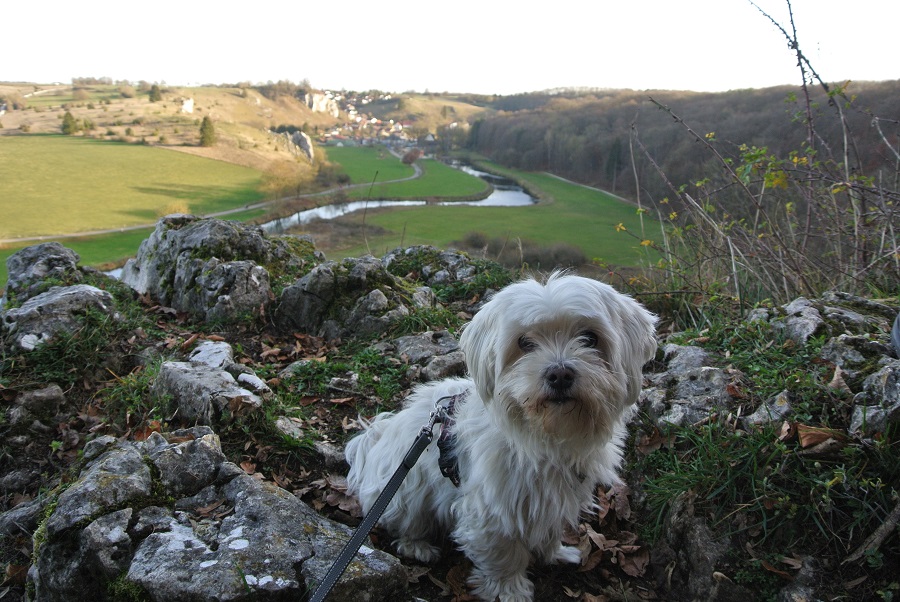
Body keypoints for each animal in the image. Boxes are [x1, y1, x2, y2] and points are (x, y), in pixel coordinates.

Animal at [345, 272, 657, 601]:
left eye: (590, 338)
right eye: (524, 343)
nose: (559, 374)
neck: (546, 436)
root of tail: (375, 442)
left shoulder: (555, 498)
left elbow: (550, 530)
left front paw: (555, 553)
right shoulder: (492, 510)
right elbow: (503, 553)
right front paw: (510, 590)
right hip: (406, 495)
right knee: (404, 524)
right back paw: (418, 546)